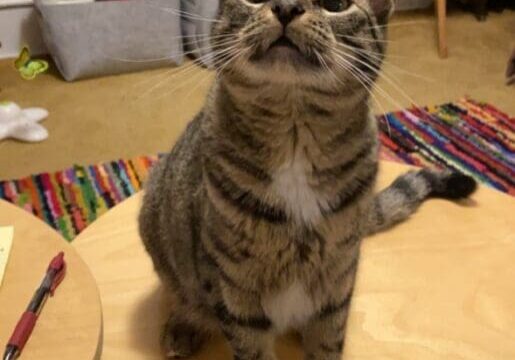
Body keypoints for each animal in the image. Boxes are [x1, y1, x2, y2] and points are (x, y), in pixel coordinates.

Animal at [139, 1, 478, 358]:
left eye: (336, 6)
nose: (286, 6)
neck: (294, 139)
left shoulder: (337, 284)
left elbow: (328, 339)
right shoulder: (235, 291)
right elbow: (250, 346)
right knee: (181, 294)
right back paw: (182, 327)